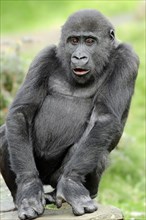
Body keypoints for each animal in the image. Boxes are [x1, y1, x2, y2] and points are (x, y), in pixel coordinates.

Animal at [0, 9, 139, 219]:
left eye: (89, 41)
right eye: (73, 40)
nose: (79, 57)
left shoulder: (127, 59)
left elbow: (103, 118)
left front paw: (71, 184)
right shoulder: (44, 56)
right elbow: (21, 112)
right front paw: (29, 187)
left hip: (57, 179)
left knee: (98, 150)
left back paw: (75, 191)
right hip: (41, 175)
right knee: (6, 133)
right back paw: (20, 198)